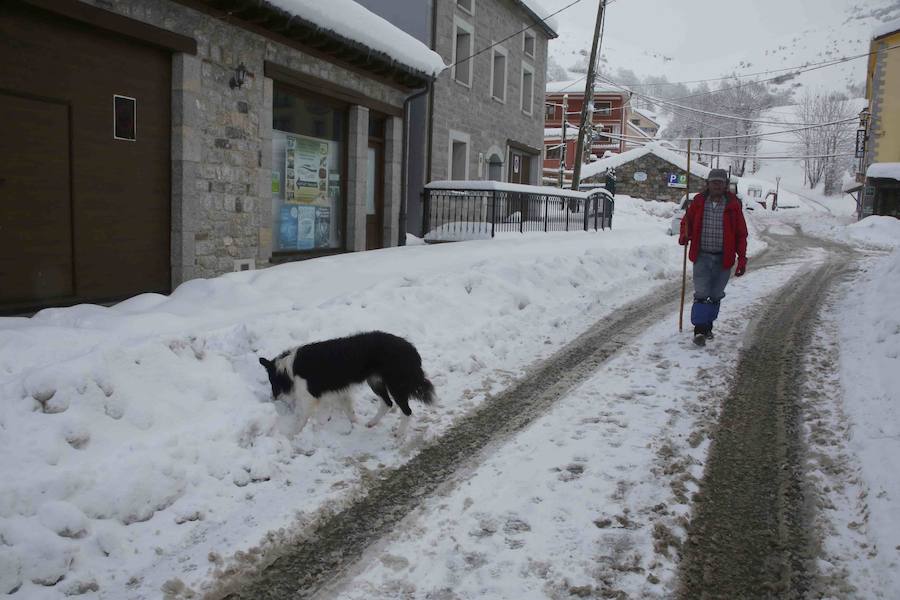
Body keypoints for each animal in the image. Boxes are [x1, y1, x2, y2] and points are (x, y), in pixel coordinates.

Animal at [258, 332, 434, 436]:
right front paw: (355, 424)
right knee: (387, 403)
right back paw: (371, 423)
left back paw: (400, 434)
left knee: (407, 410)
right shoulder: (338, 392)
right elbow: (349, 411)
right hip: (375, 381)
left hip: (395, 385)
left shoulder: (309, 398)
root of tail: (411, 349)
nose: (273, 398)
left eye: (272, 381)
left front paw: (293, 434)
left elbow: (302, 418)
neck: (288, 368)